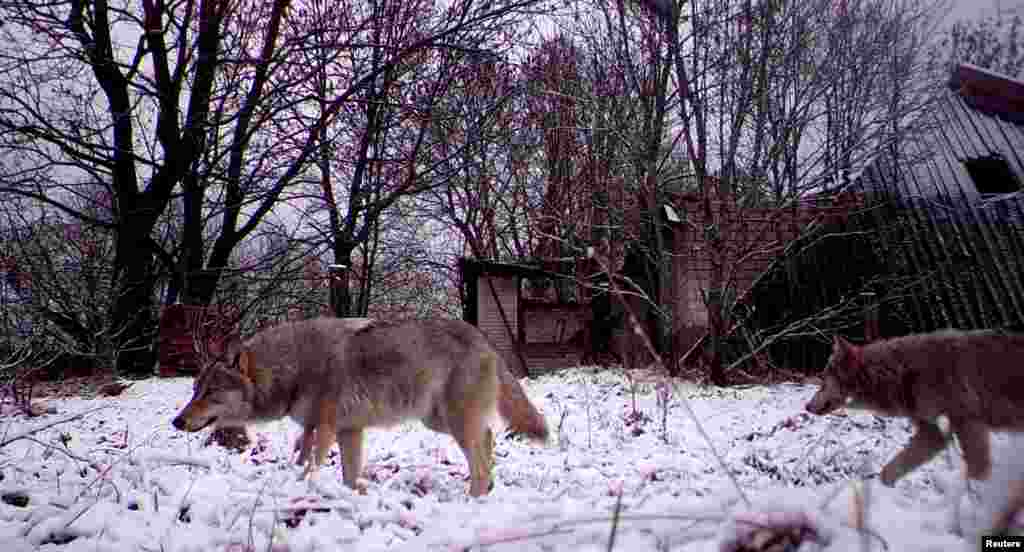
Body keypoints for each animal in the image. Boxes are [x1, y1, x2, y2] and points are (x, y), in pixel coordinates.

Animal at [172, 317, 548, 499]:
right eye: (195, 391)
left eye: (211, 392)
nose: (177, 421)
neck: (293, 366)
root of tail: (485, 339)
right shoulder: (346, 430)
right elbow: (347, 474)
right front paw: (350, 496)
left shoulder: (325, 429)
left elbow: (311, 465)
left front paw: (307, 489)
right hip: (438, 421)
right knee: (488, 437)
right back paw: (489, 488)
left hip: (452, 423)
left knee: (481, 458)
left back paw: (475, 499)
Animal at [802, 329, 1024, 485]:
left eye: (823, 381)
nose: (806, 406)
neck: (904, 372)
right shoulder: (933, 435)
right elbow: (888, 472)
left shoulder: (968, 423)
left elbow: (977, 471)